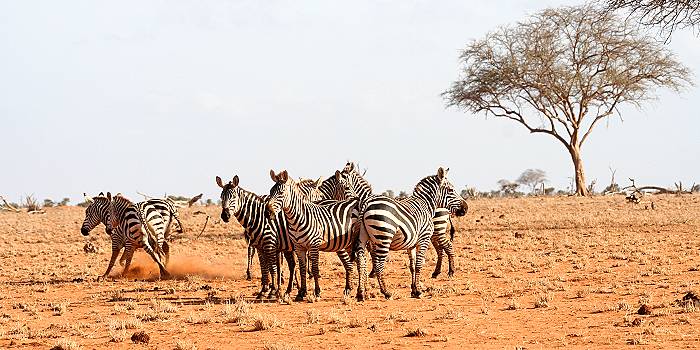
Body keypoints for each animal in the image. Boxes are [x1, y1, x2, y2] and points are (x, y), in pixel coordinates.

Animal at [266, 170, 366, 300]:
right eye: (270, 192)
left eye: (281, 193)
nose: (267, 212)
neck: (297, 219)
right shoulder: (298, 247)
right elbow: (302, 268)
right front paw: (301, 292)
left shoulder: (314, 245)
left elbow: (314, 268)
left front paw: (317, 292)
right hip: (348, 244)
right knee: (354, 263)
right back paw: (351, 289)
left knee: (361, 262)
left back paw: (361, 292)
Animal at [338, 162, 468, 278]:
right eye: (451, 190)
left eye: (345, 185)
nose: (466, 208)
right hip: (434, 233)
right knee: (442, 248)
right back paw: (439, 272)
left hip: (437, 230)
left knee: (446, 246)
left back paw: (449, 271)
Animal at [358, 168, 468, 300]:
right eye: (451, 190)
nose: (466, 208)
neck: (426, 205)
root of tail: (366, 203)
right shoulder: (424, 239)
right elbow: (419, 264)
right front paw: (419, 291)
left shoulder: (412, 244)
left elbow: (413, 266)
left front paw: (414, 290)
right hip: (384, 238)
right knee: (378, 265)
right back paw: (386, 292)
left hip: (363, 237)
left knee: (361, 262)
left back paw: (361, 293)